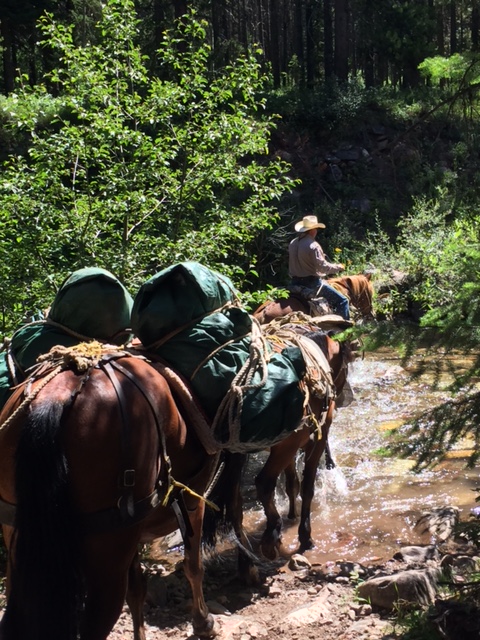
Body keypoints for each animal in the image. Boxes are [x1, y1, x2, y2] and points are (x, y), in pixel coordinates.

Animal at [0, 344, 218, 640]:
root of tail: (57, 396)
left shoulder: (133, 529)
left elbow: (137, 589)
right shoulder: (193, 501)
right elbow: (193, 566)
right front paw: (203, 623)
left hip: (20, 539)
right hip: (108, 556)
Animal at [202, 328, 356, 584]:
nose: (346, 397)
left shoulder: (291, 446)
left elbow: (292, 481)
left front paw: (292, 514)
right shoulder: (315, 438)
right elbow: (307, 485)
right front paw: (305, 536)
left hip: (239, 453)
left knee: (235, 505)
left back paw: (247, 565)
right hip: (284, 444)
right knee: (264, 482)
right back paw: (270, 539)